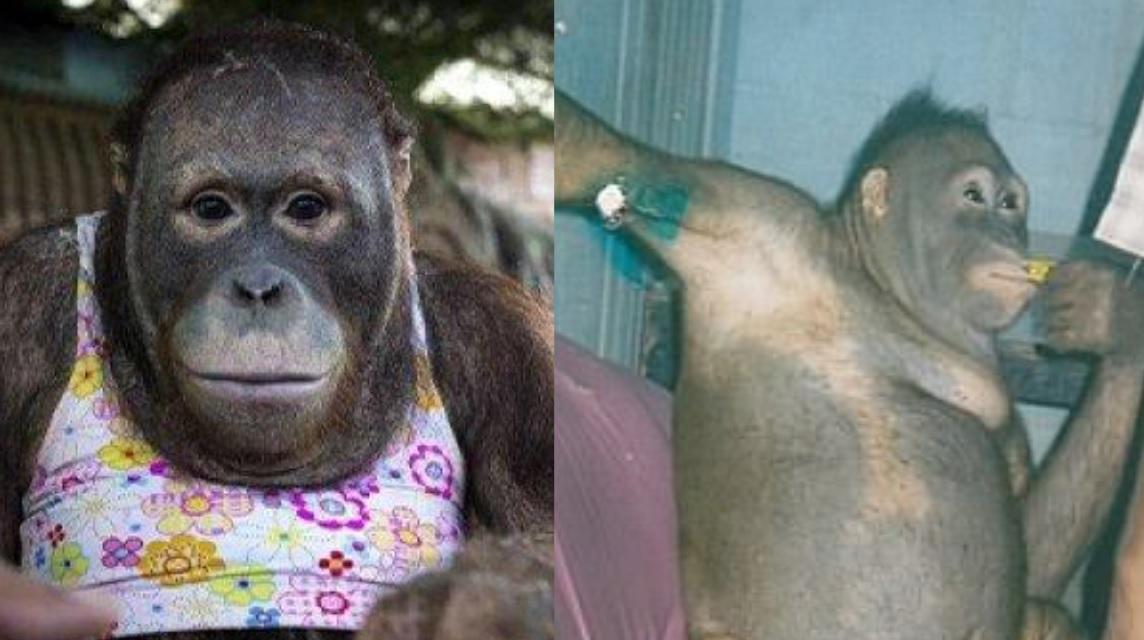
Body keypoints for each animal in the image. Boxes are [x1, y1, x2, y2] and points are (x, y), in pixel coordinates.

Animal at [0, 21, 552, 640]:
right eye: (211, 208)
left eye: (306, 208)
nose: (259, 288)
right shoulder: (21, 299)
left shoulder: (507, 342)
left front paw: (476, 604)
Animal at [555, 89, 1144, 639]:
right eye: (975, 196)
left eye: (1011, 204)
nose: (1005, 233)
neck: (884, 287)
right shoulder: (762, 219)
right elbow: (610, 163)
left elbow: (1032, 548)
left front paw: (1116, 326)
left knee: (1047, 612)